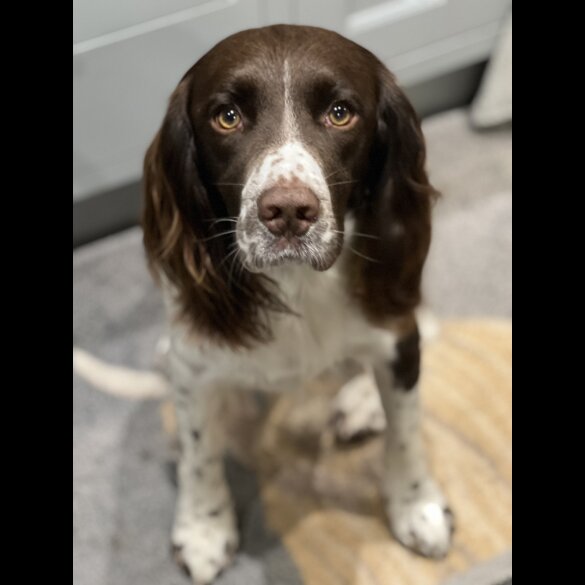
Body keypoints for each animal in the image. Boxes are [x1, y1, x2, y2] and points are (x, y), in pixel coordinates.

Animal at [138, 24, 452, 584]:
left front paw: (416, 506)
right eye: (227, 116)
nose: (287, 211)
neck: (295, 283)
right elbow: (199, 451)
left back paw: (362, 400)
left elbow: (407, 428)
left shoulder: (397, 329)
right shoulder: (194, 363)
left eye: (341, 112)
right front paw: (203, 527)